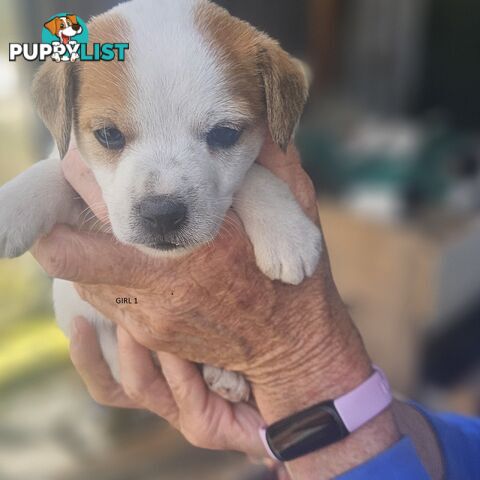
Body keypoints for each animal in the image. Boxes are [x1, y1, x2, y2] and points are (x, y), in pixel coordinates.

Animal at [1, 0, 322, 404]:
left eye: (225, 134)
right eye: (108, 135)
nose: (162, 214)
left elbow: (255, 176)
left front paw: (287, 233)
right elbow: (55, 171)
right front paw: (14, 204)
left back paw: (224, 375)